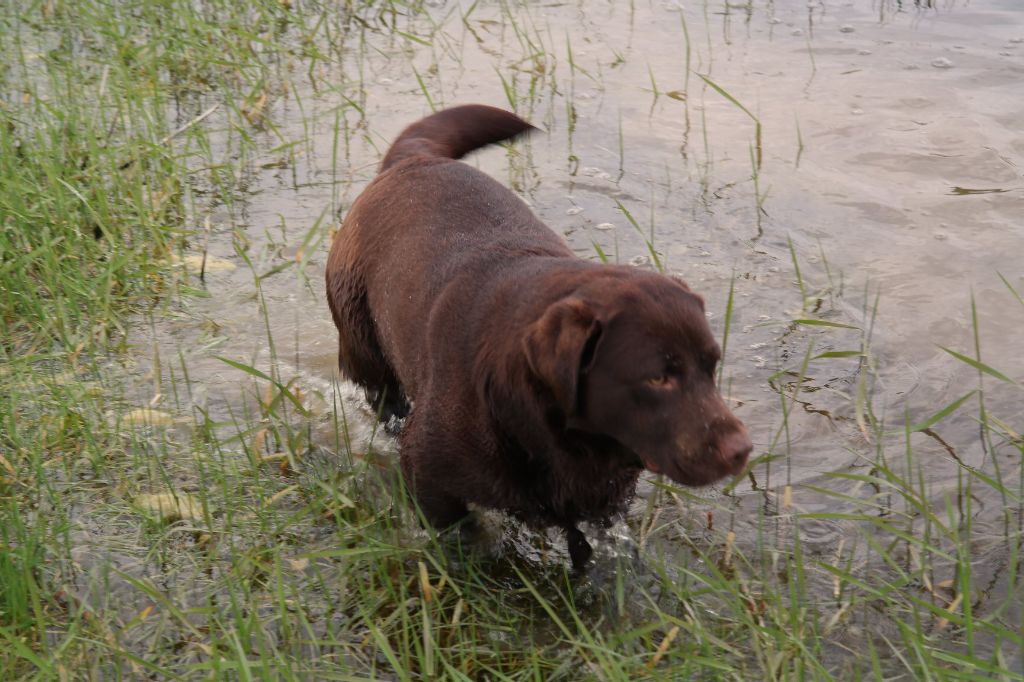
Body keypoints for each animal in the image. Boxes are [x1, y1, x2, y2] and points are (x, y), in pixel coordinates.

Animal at [327, 103, 753, 565]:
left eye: (712, 367)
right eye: (658, 377)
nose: (741, 450)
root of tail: (415, 159)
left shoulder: (603, 499)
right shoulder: (428, 475)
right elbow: (461, 531)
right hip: (364, 344)